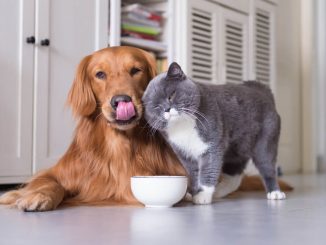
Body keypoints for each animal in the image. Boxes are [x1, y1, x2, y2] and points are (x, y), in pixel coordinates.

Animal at [143, 62, 286, 204]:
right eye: (156, 107)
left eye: (171, 95)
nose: (166, 109)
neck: (182, 126)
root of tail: (262, 91)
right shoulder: (184, 154)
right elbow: (194, 174)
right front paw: (194, 193)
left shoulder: (212, 145)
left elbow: (209, 170)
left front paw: (203, 195)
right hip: (236, 151)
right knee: (235, 177)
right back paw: (218, 192)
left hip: (265, 142)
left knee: (267, 167)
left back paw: (275, 193)